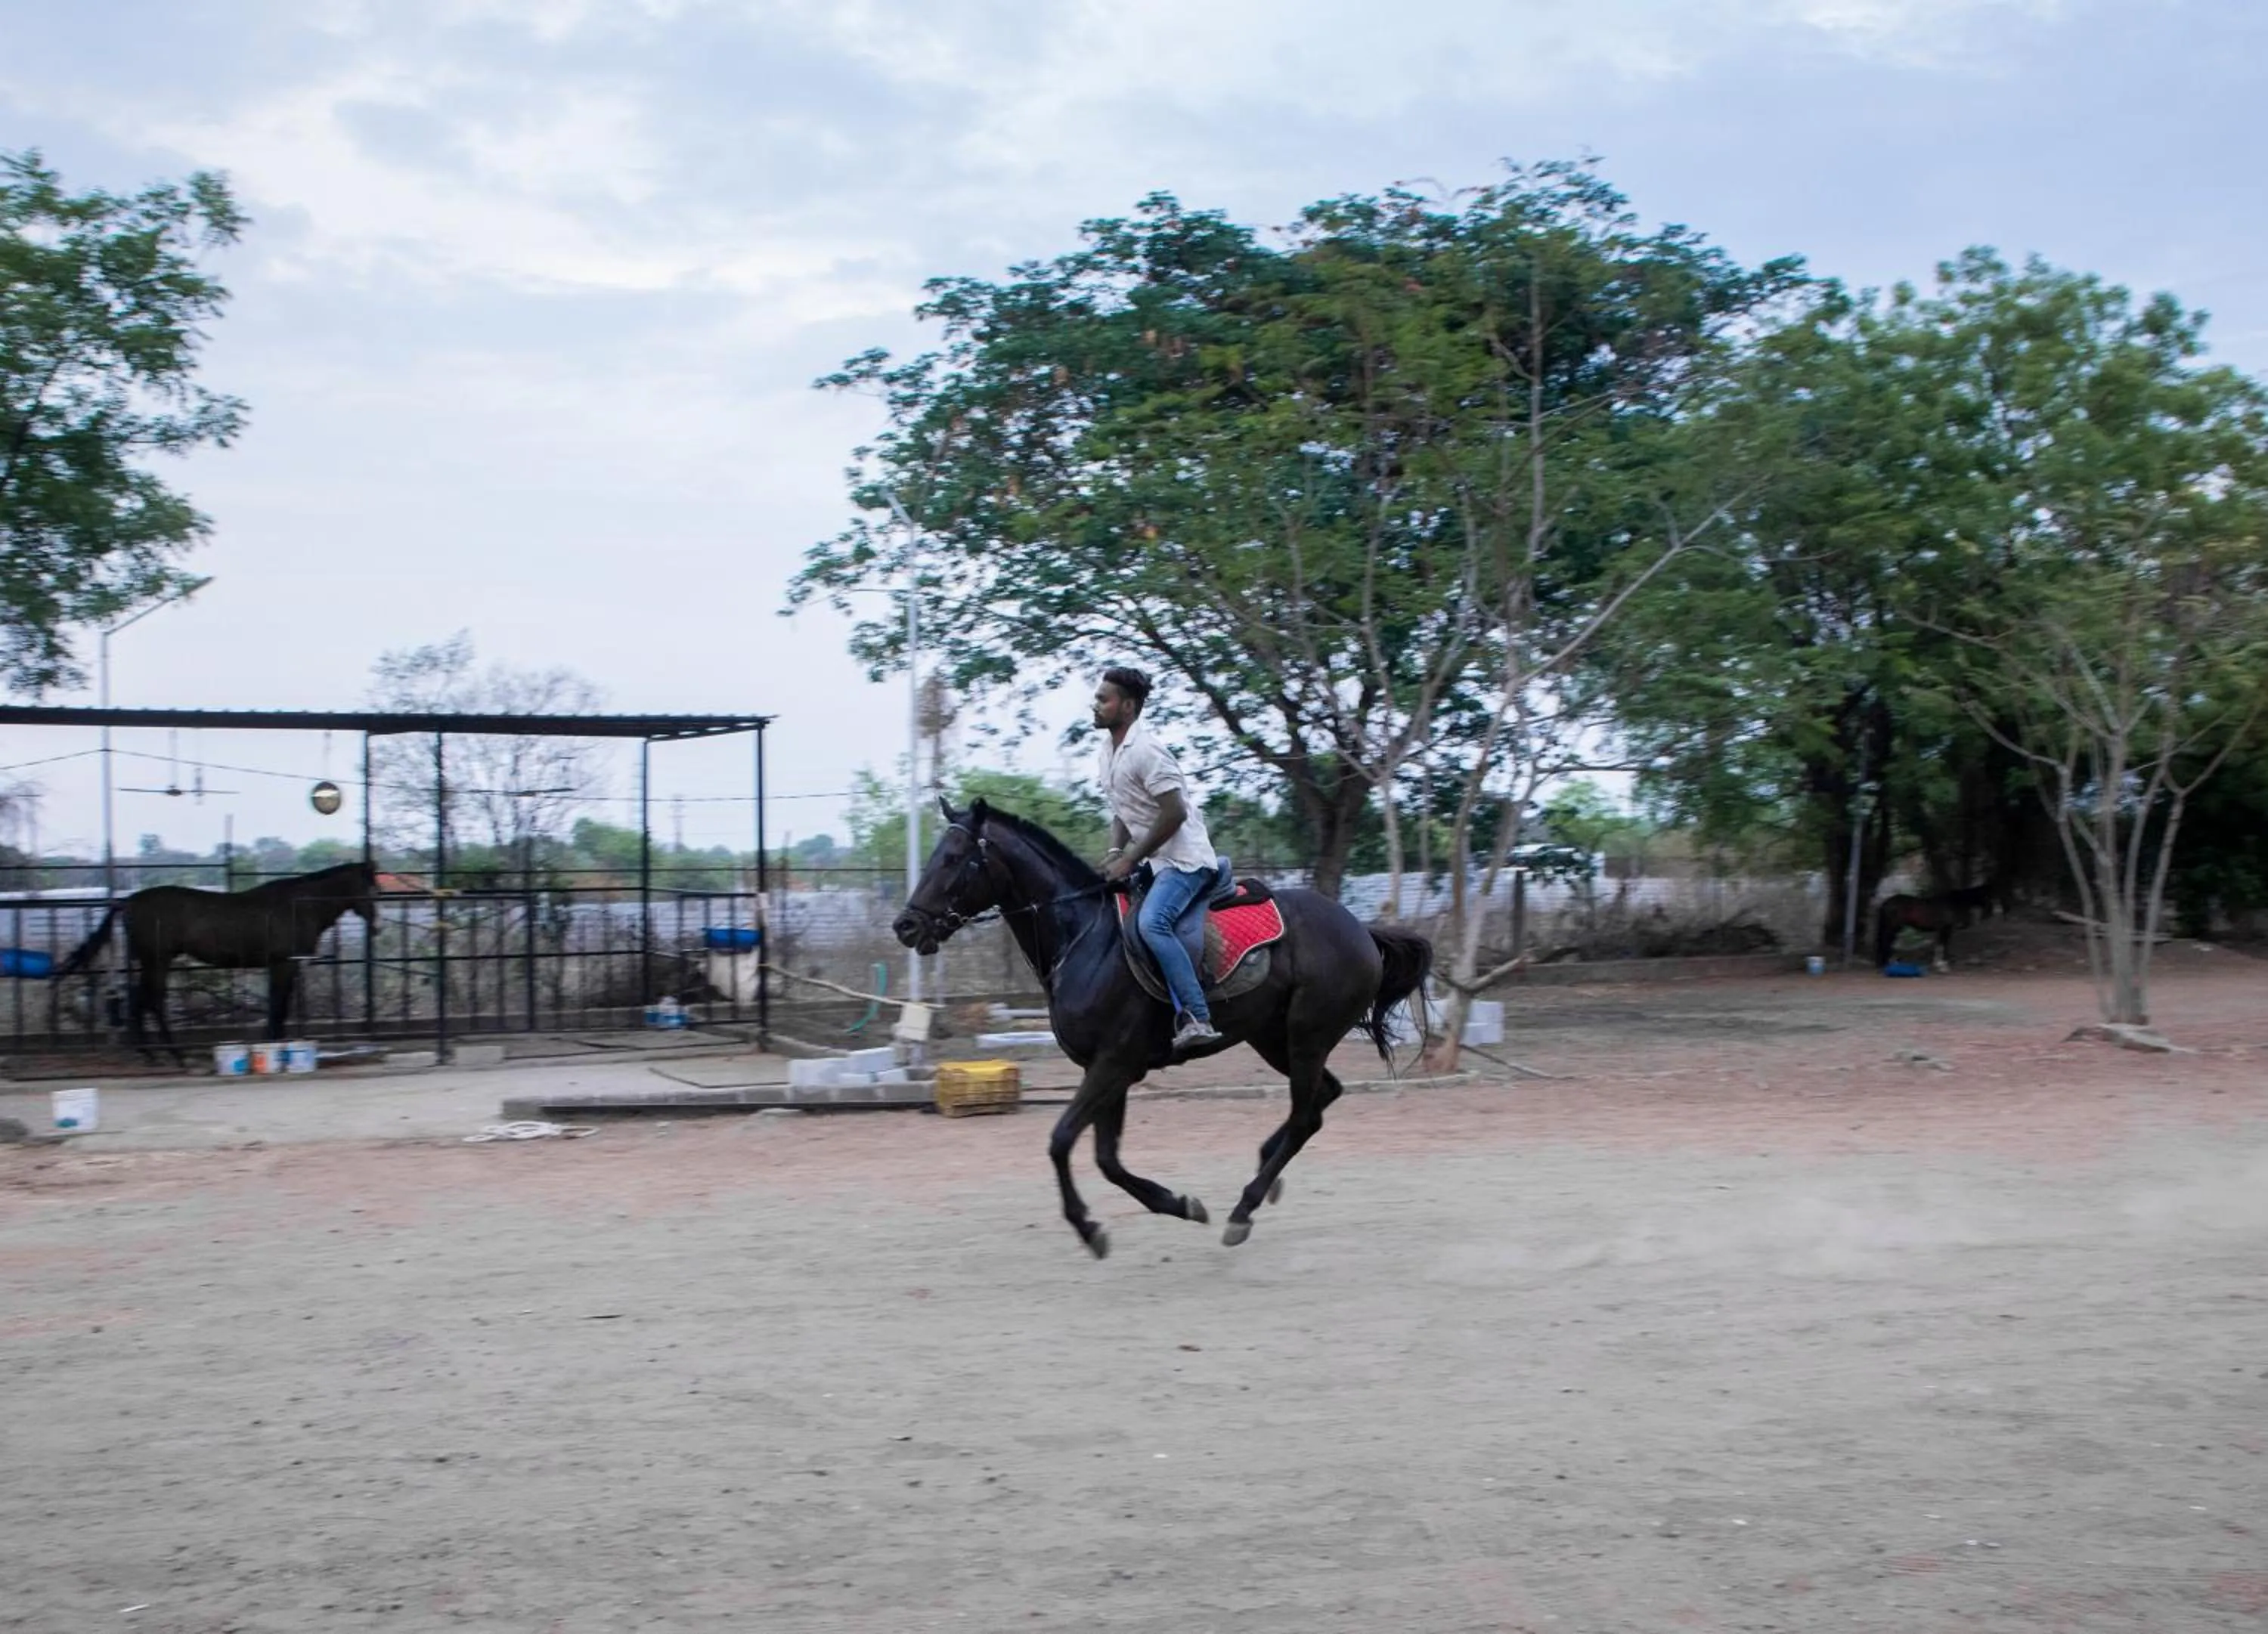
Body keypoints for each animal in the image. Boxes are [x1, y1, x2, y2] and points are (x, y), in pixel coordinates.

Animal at [53, 861, 380, 1064]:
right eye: (370, 890)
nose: (377, 928)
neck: (299, 906)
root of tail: (127, 901)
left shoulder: (284, 965)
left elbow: (281, 1005)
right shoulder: (282, 964)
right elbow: (278, 1006)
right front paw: (274, 1045)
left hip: (153, 963)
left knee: (140, 1001)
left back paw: (153, 1054)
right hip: (157, 961)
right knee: (152, 1001)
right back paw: (174, 1055)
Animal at [894, 798, 1433, 1258]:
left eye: (954, 859)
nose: (906, 926)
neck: (1083, 936)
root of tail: (1361, 930)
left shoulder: (1113, 1064)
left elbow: (1062, 1141)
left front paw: (1089, 1228)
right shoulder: (1106, 1070)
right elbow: (1107, 1159)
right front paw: (1179, 1204)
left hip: (1305, 1037)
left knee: (1306, 1115)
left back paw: (1244, 1208)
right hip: (1274, 1038)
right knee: (1323, 1097)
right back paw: (1264, 1169)